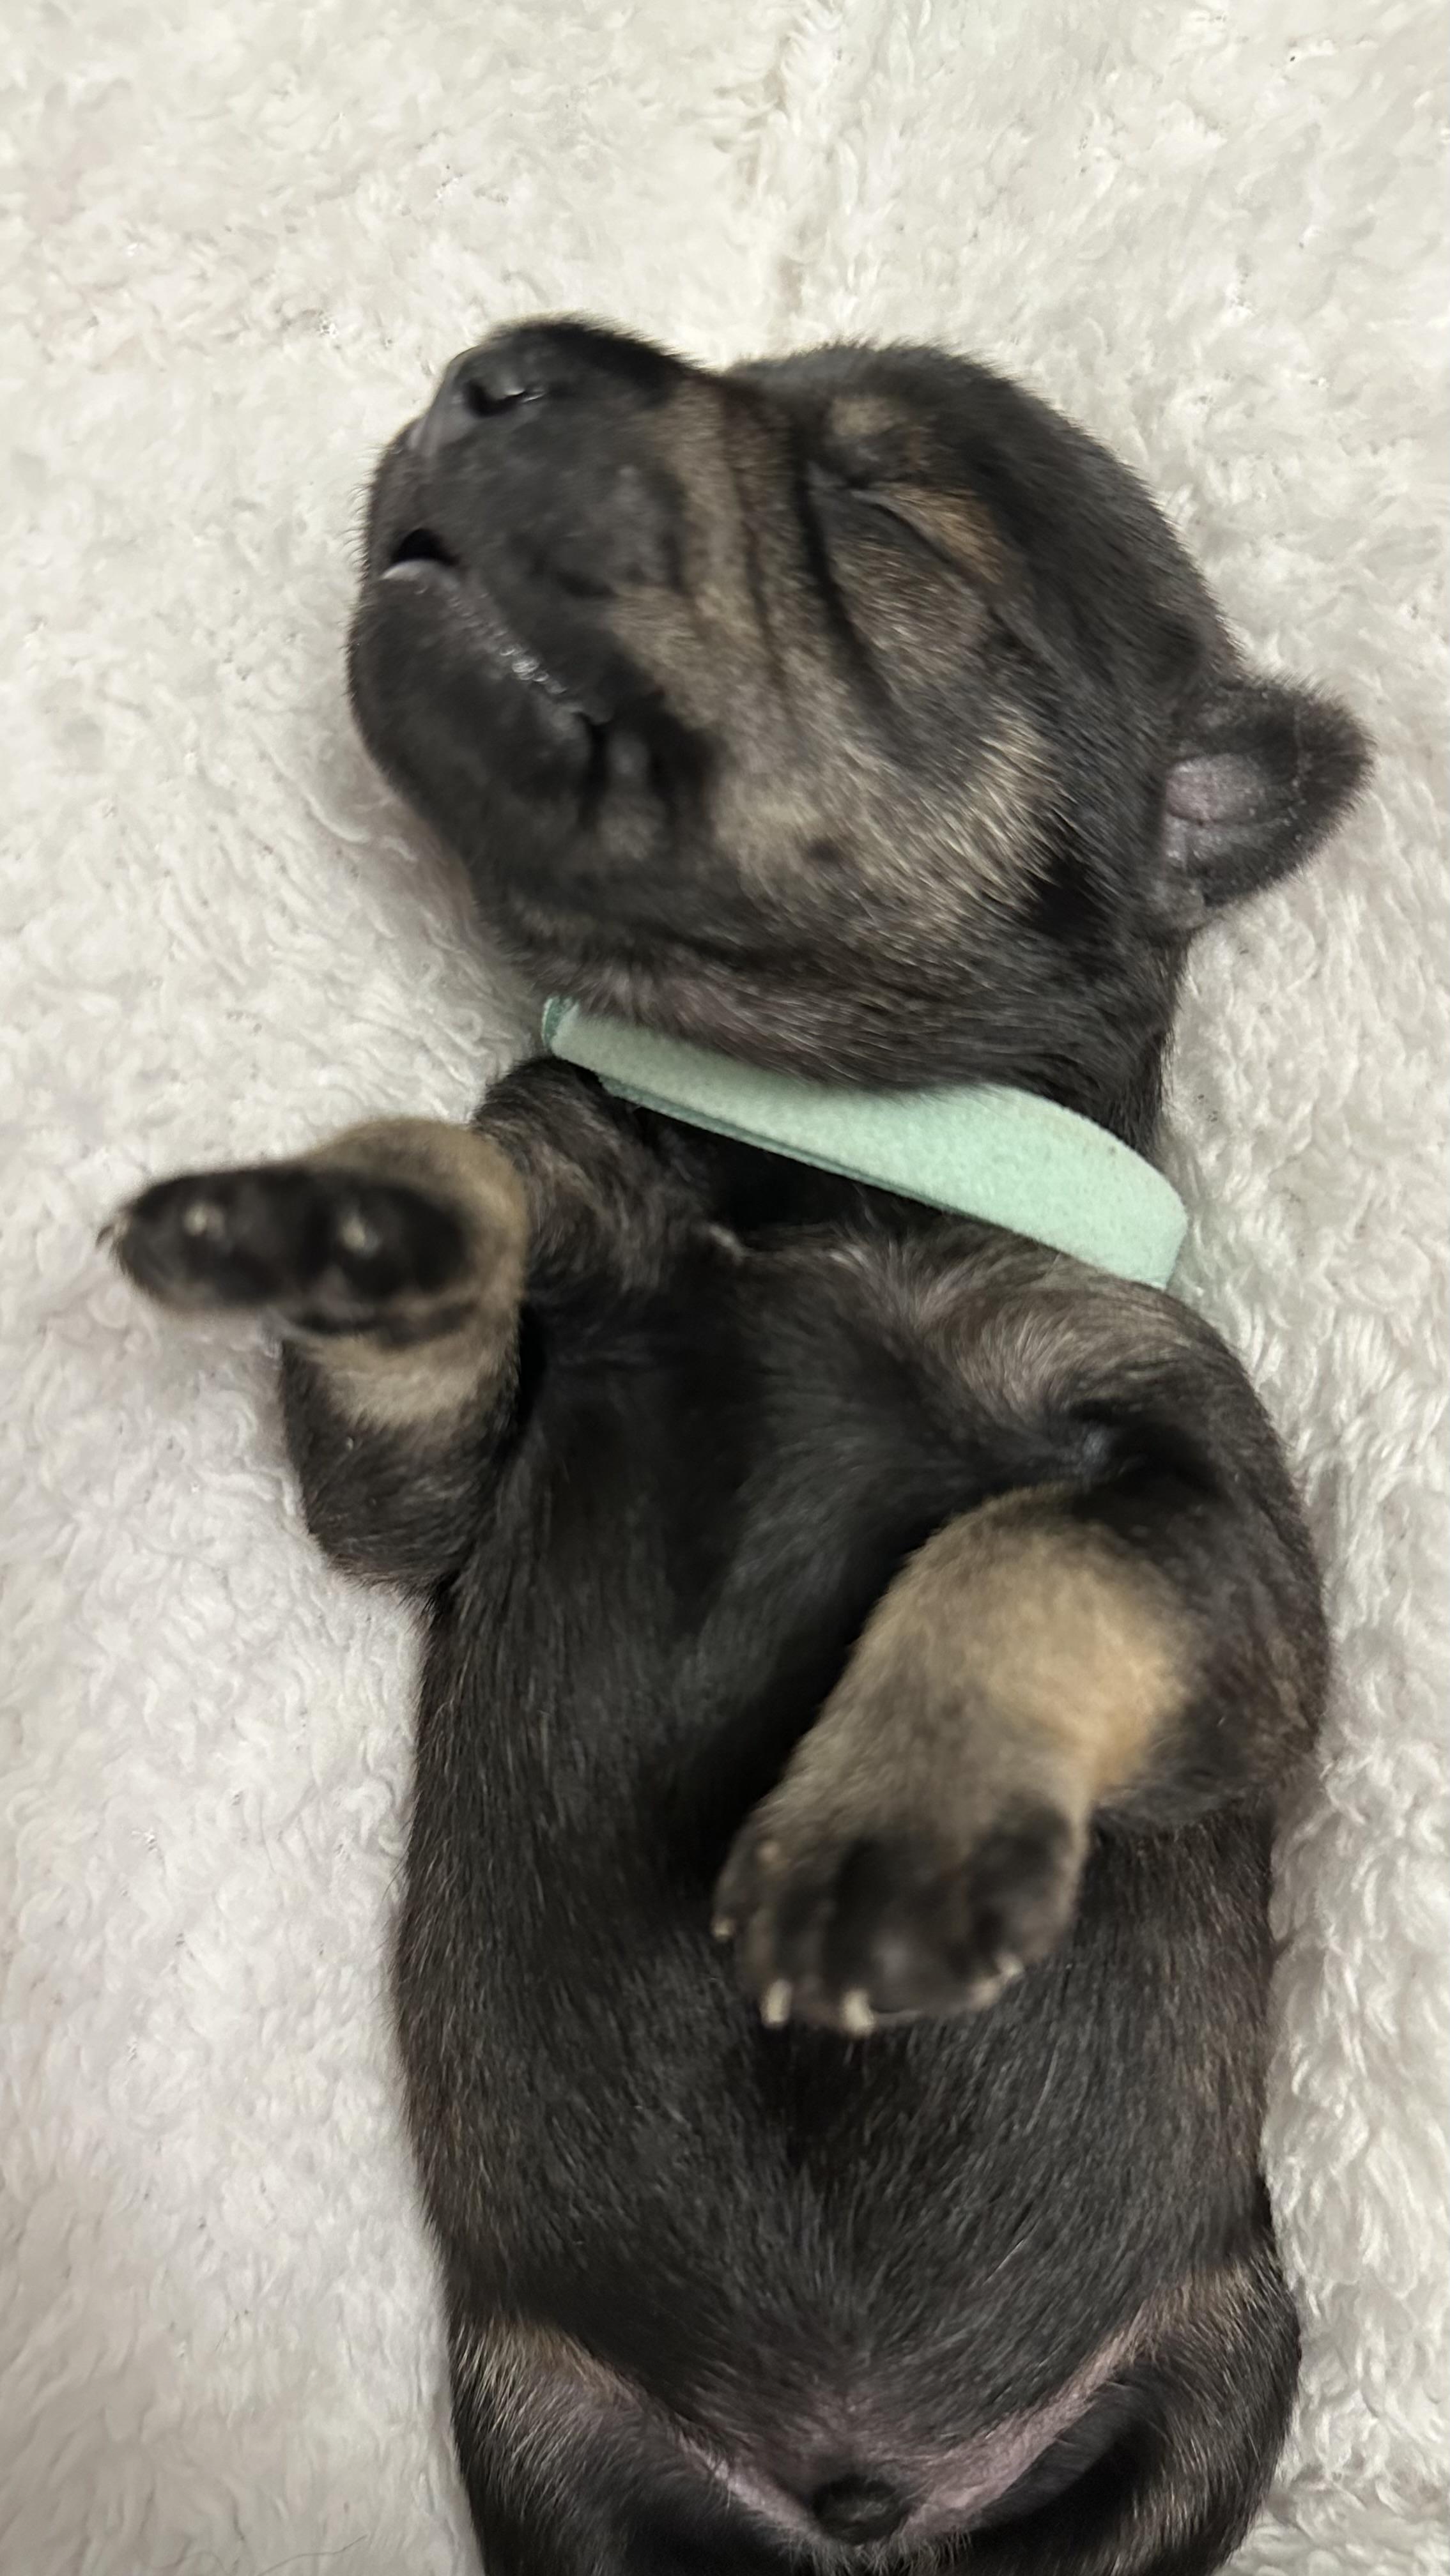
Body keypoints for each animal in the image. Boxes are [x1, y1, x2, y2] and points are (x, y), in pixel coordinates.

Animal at [109, 321, 1367, 2575]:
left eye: (876, 510)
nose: (491, 369)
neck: (793, 1166)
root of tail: (863, 2501)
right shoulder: (431, 1472)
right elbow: (471, 1189)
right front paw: (364, 1207)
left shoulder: (1228, 1558)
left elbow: (1029, 1554)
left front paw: (887, 1835)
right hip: (552, 2444)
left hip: (1217, 2376)